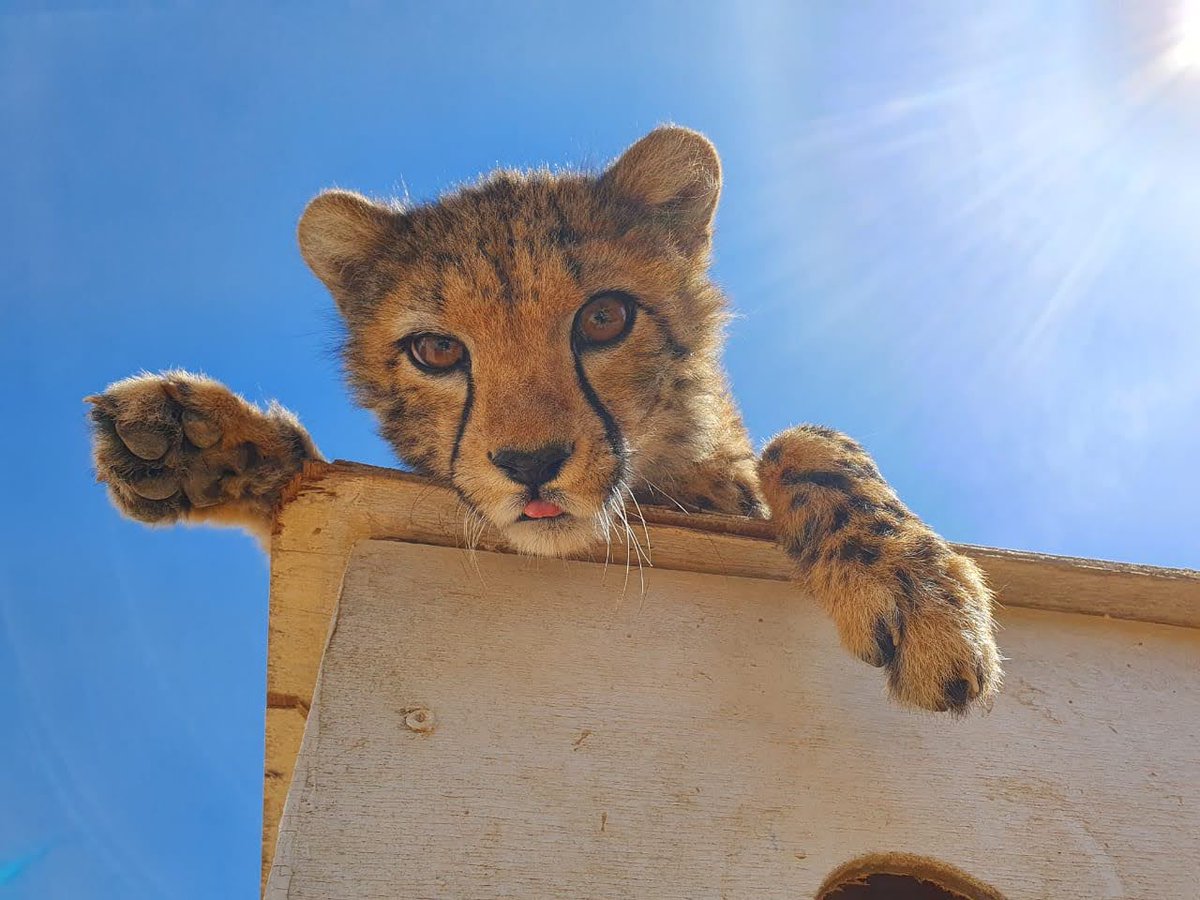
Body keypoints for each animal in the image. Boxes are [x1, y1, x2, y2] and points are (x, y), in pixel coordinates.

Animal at [87, 126, 1001, 714]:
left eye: (604, 318)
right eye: (435, 351)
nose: (530, 463)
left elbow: (806, 441)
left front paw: (922, 594)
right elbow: (310, 474)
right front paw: (191, 440)